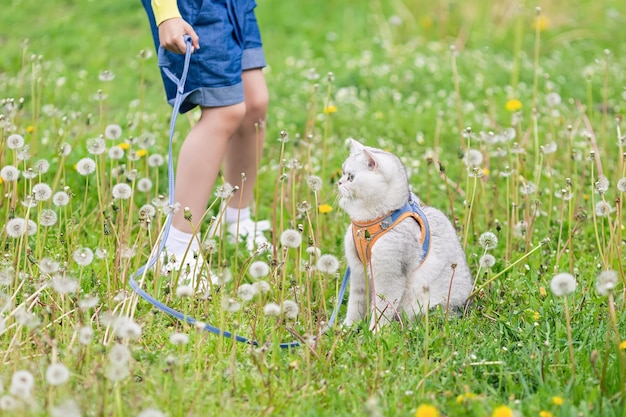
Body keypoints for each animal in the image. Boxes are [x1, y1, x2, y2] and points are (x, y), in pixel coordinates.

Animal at [338, 140, 470, 332]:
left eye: (351, 177)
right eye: (342, 172)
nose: (339, 182)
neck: (368, 224)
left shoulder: (389, 276)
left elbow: (381, 309)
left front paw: (374, 333)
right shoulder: (358, 273)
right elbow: (355, 306)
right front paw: (346, 328)